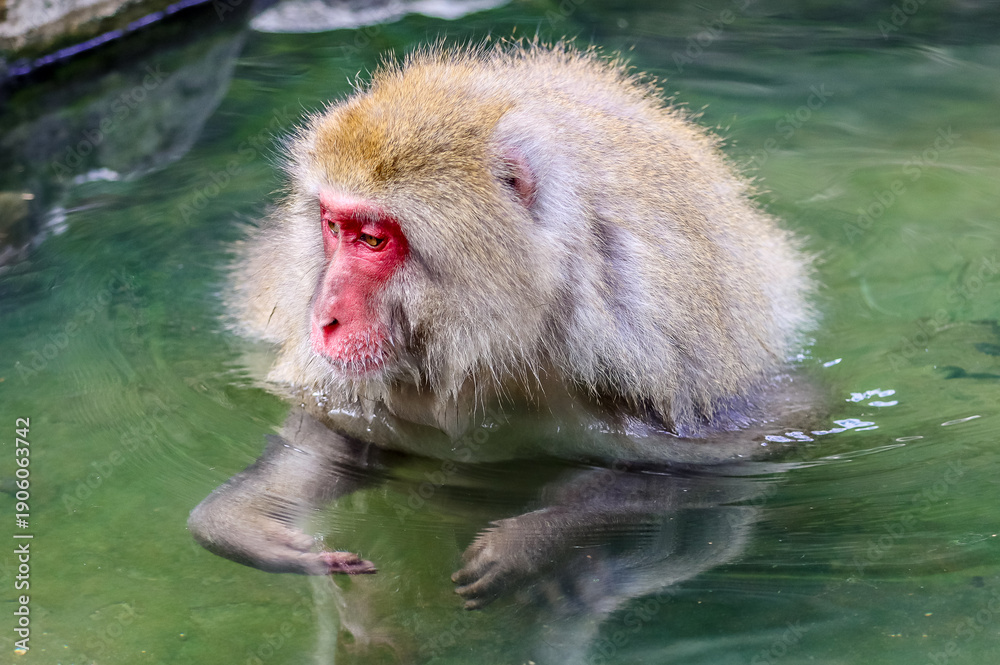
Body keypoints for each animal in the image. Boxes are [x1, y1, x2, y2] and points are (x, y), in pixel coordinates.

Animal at [188, 40, 813, 608]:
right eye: (334, 227)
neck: (513, 319)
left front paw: (532, 541)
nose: (323, 318)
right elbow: (342, 434)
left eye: (373, 239)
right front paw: (244, 526)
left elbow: (702, 468)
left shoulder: (656, 342)